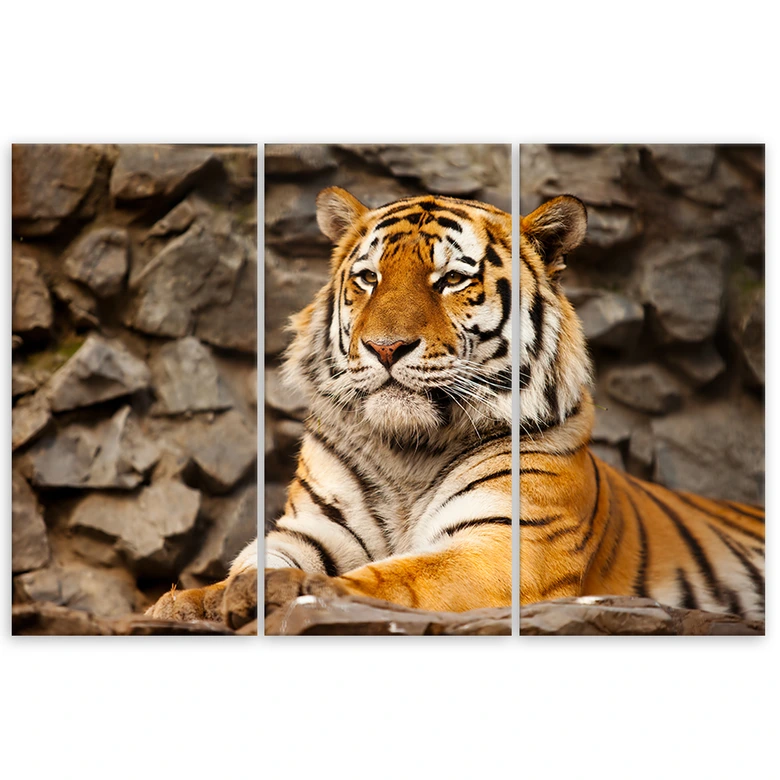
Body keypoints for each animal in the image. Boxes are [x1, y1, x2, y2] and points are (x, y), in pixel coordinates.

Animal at [148, 185, 513, 624]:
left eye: (453, 280)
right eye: (369, 278)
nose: (386, 347)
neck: (410, 448)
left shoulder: (499, 539)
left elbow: (392, 578)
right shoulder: (315, 527)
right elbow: (256, 563)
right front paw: (186, 604)